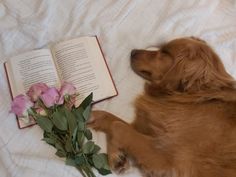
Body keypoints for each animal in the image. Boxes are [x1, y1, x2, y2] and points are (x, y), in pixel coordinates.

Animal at [87, 36, 236, 176]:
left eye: (165, 52)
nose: (132, 52)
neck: (194, 96)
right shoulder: (149, 128)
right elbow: (113, 120)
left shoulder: (168, 158)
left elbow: (118, 126)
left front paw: (114, 155)